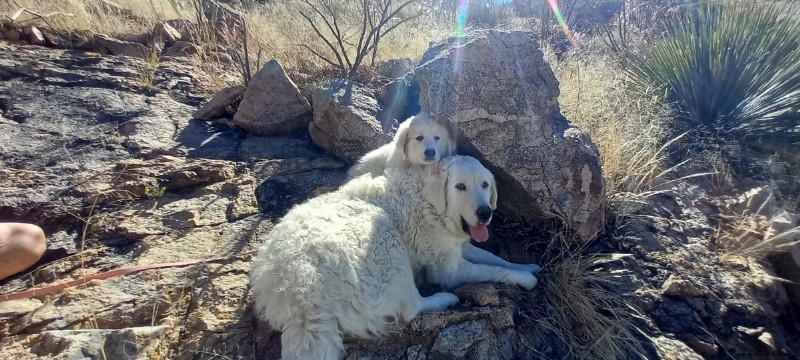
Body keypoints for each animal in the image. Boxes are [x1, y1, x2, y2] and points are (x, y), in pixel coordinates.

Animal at [248, 155, 536, 360]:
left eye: (485, 185)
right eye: (460, 186)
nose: (485, 213)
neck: (429, 202)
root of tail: (300, 292)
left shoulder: (457, 246)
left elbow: (492, 257)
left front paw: (528, 265)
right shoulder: (448, 270)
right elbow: (493, 270)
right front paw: (526, 278)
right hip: (385, 237)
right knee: (411, 308)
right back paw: (443, 300)